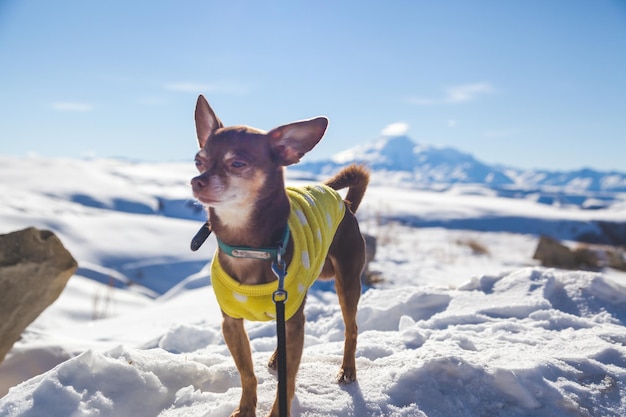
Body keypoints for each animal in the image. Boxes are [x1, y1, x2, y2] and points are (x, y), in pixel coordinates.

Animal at [188, 95, 368, 416]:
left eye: (237, 163)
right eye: (199, 161)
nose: (197, 181)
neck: (247, 246)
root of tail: (345, 204)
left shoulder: (294, 320)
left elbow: (288, 379)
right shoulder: (231, 323)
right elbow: (247, 374)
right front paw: (246, 409)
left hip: (347, 282)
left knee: (351, 328)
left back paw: (347, 369)